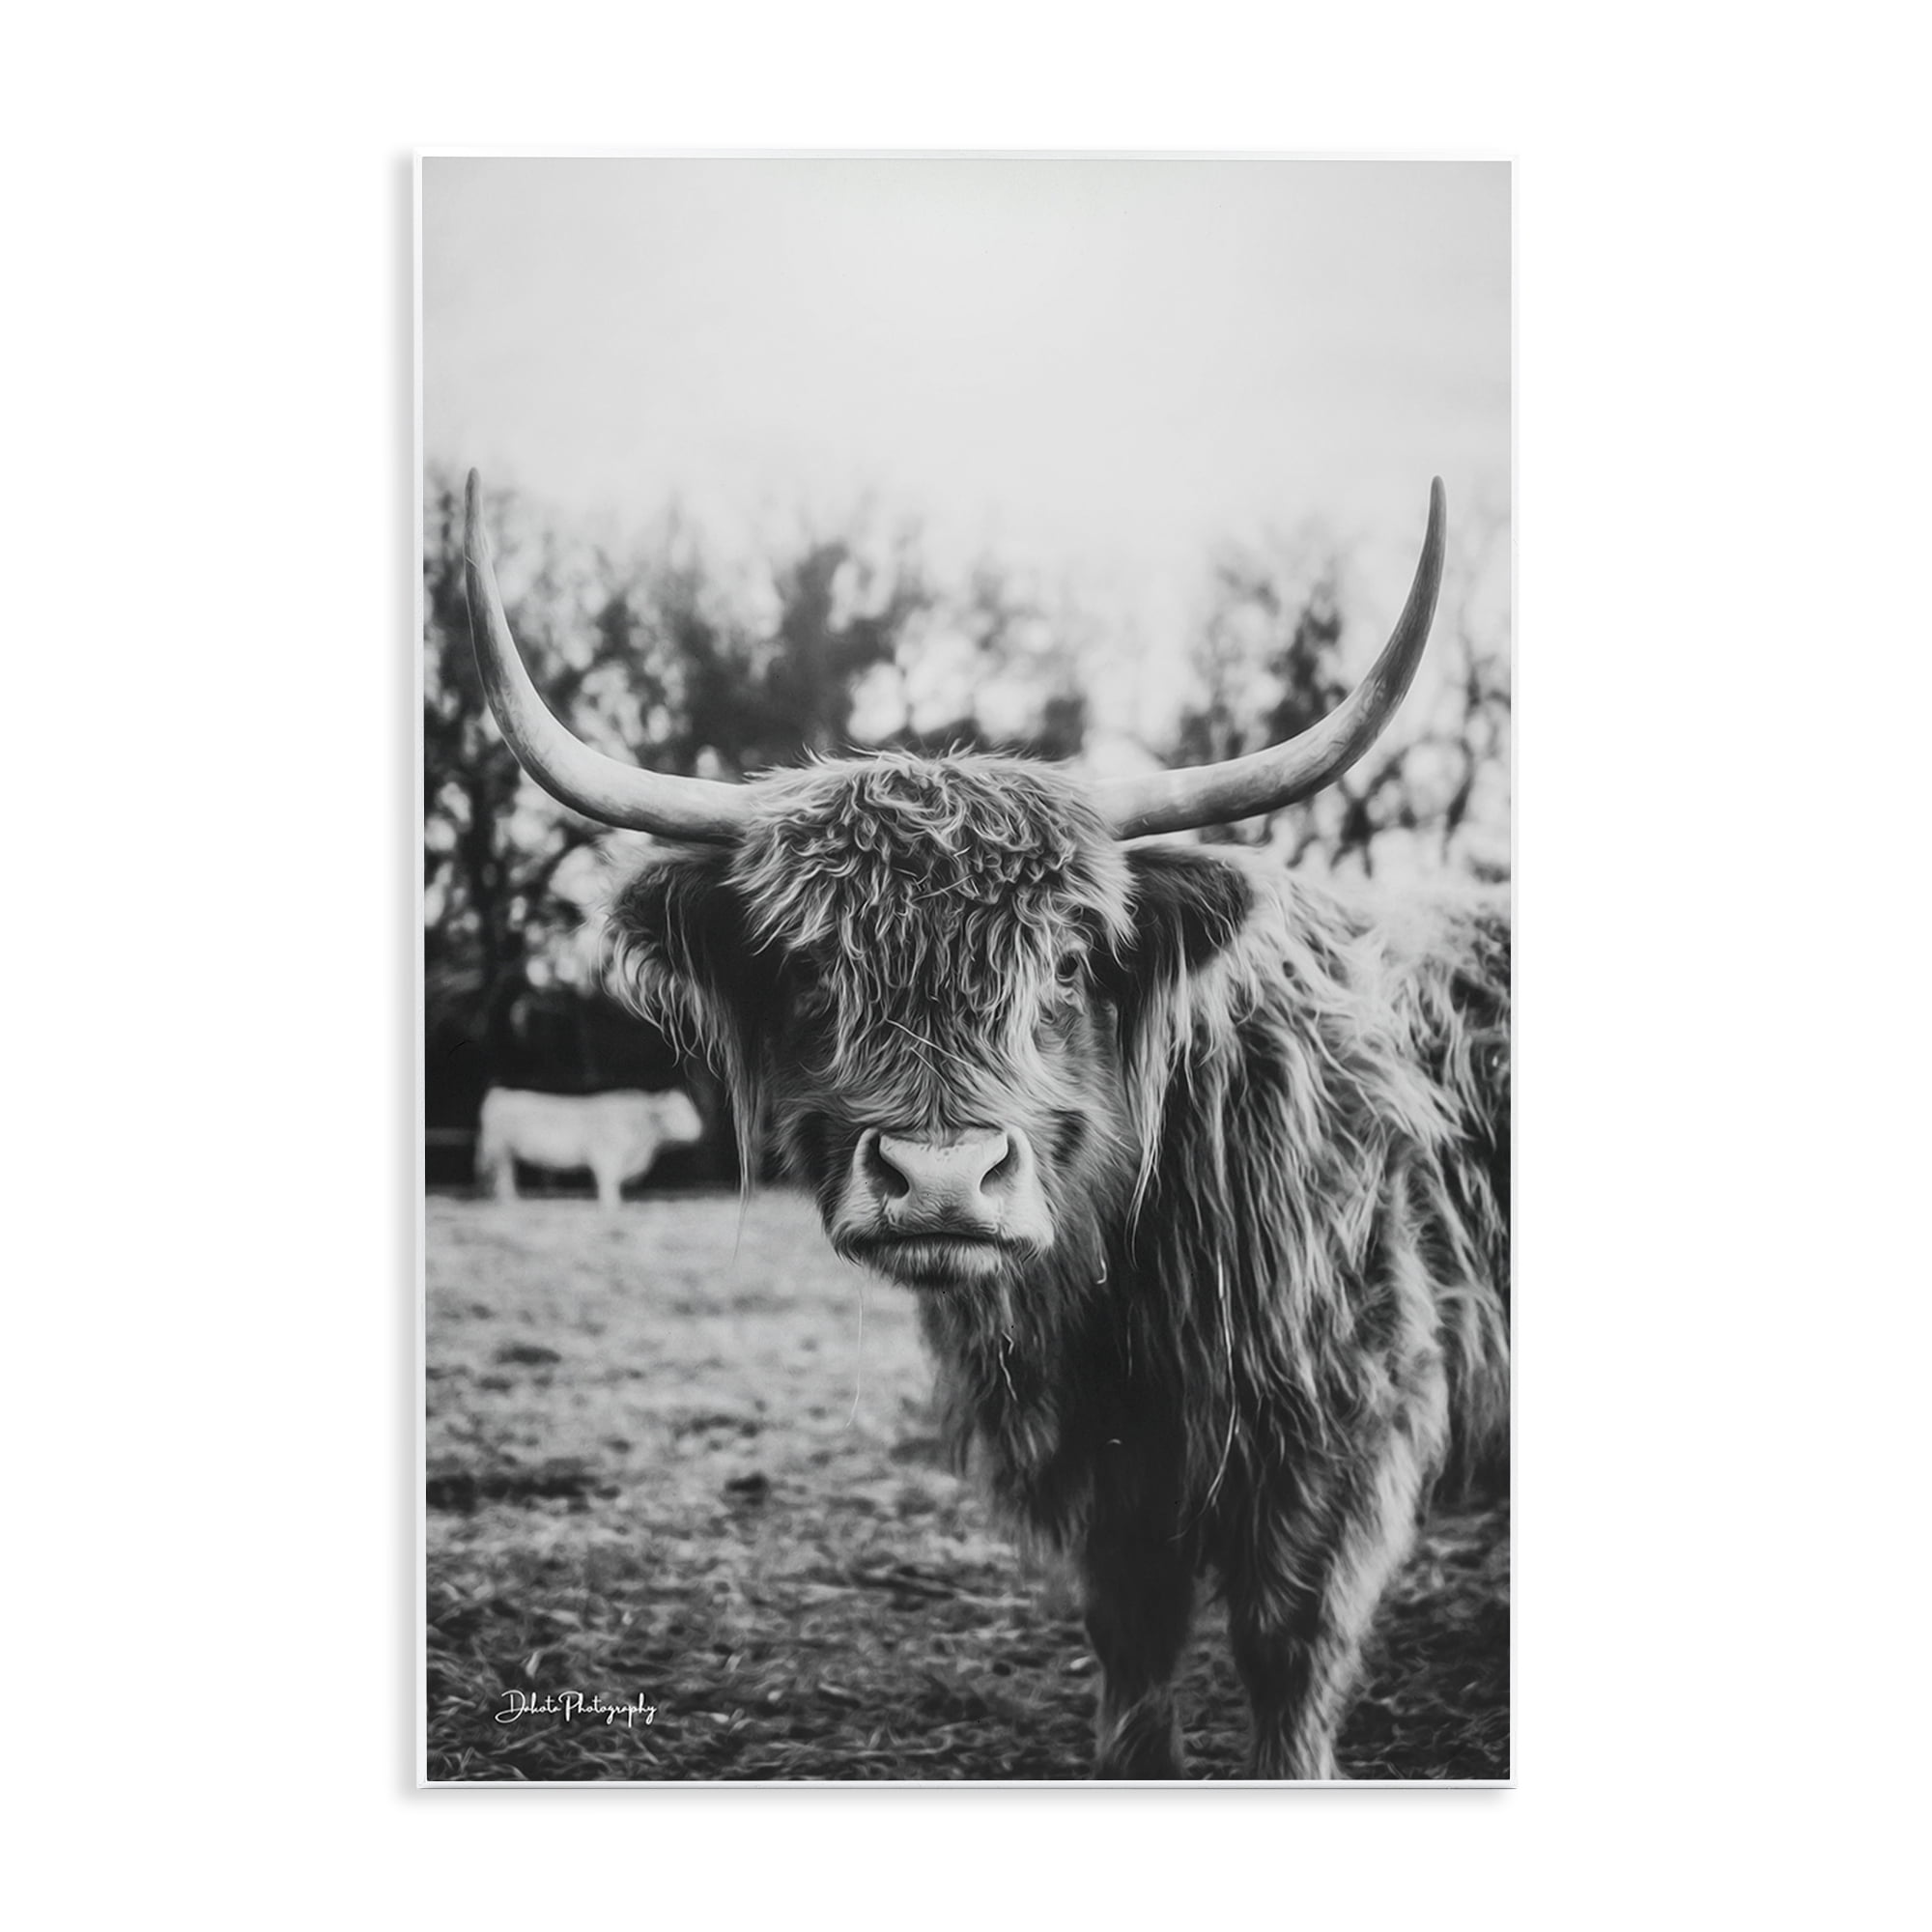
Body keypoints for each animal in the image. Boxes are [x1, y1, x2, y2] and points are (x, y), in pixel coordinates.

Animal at [475, 1086, 704, 1207]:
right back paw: (510, 1201)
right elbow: (608, 1183)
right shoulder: (607, 1157)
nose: (699, 1129)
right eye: (675, 1114)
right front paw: (611, 1206)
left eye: (690, 1109)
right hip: (500, 1151)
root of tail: (501, 1093)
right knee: (503, 1177)